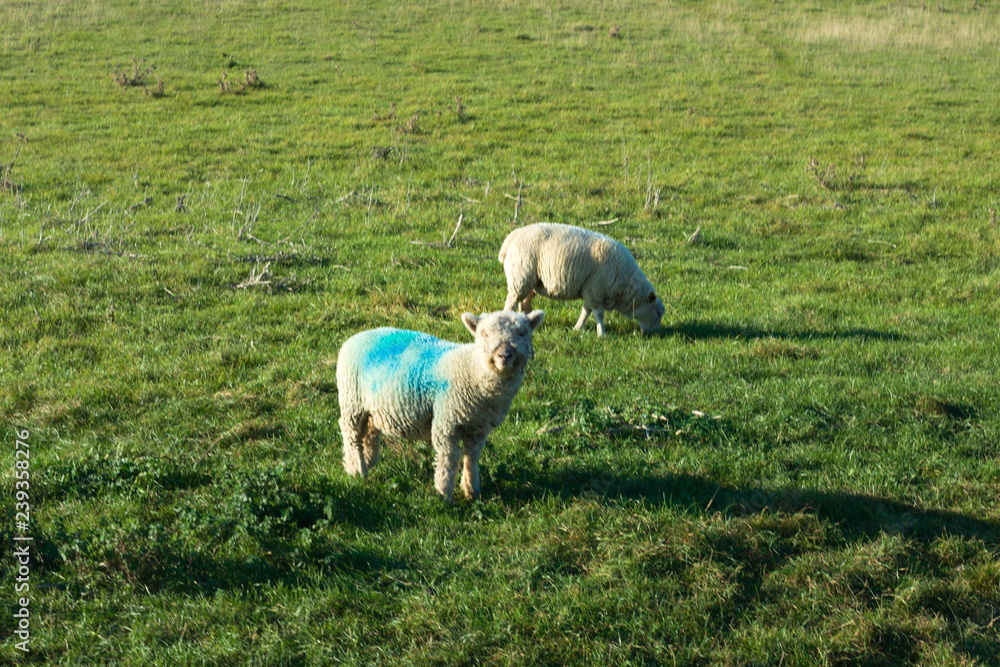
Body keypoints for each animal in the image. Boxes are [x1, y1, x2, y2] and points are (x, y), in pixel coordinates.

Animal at [336, 309, 544, 501]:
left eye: (522, 332)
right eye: (484, 334)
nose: (504, 355)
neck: (473, 369)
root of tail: (357, 336)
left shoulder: (478, 428)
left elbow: (472, 458)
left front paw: (472, 491)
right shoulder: (446, 423)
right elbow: (449, 459)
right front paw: (444, 495)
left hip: (371, 406)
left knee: (370, 430)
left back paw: (366, 461)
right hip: (351, 400)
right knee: (351, 434)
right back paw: (358, 470)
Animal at [499, 222, 665, 337]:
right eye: (657, 313)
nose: (654, 335)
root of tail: (513, 236)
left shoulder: (590, 291)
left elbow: (586, 311)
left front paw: (578, 328)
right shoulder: (596, 289)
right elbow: (598, 314)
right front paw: (602, 334)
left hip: (532, 282)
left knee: (524, 303)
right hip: (520, 277)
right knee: (511, 303)